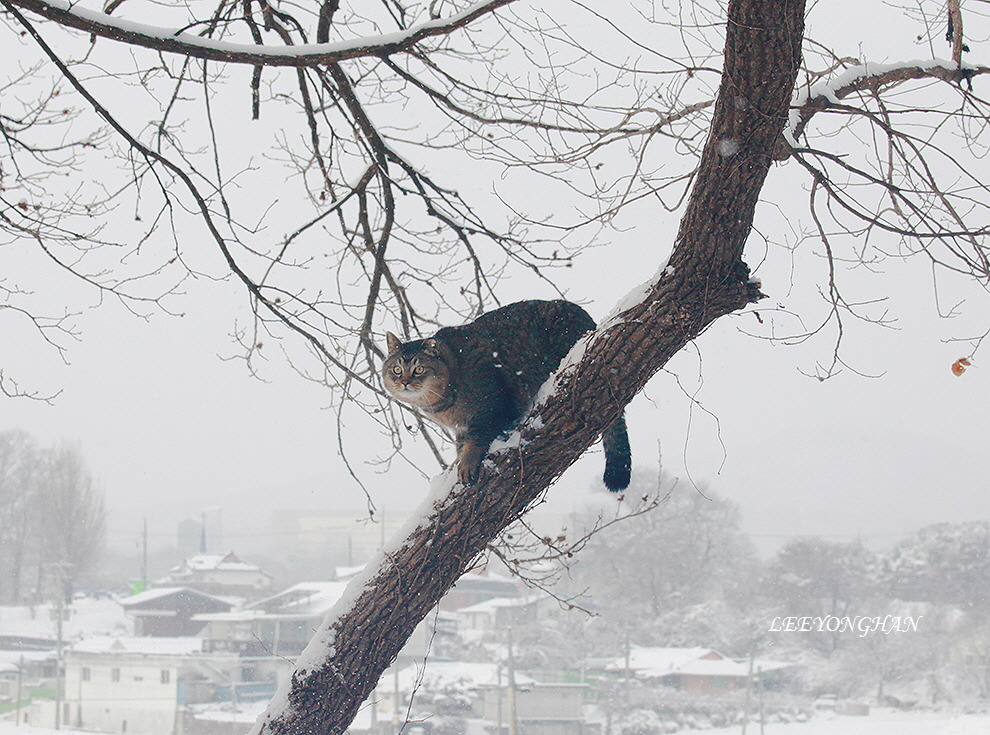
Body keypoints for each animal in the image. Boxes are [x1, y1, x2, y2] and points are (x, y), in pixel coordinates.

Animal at [384, 300, 632, 494]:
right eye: (396, 369)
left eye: (418, 369)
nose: (404, 381)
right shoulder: (461, 427)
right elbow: (461, 445)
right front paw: (457, 461)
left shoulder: (490, 402)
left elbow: (477, 439)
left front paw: (466, 463)